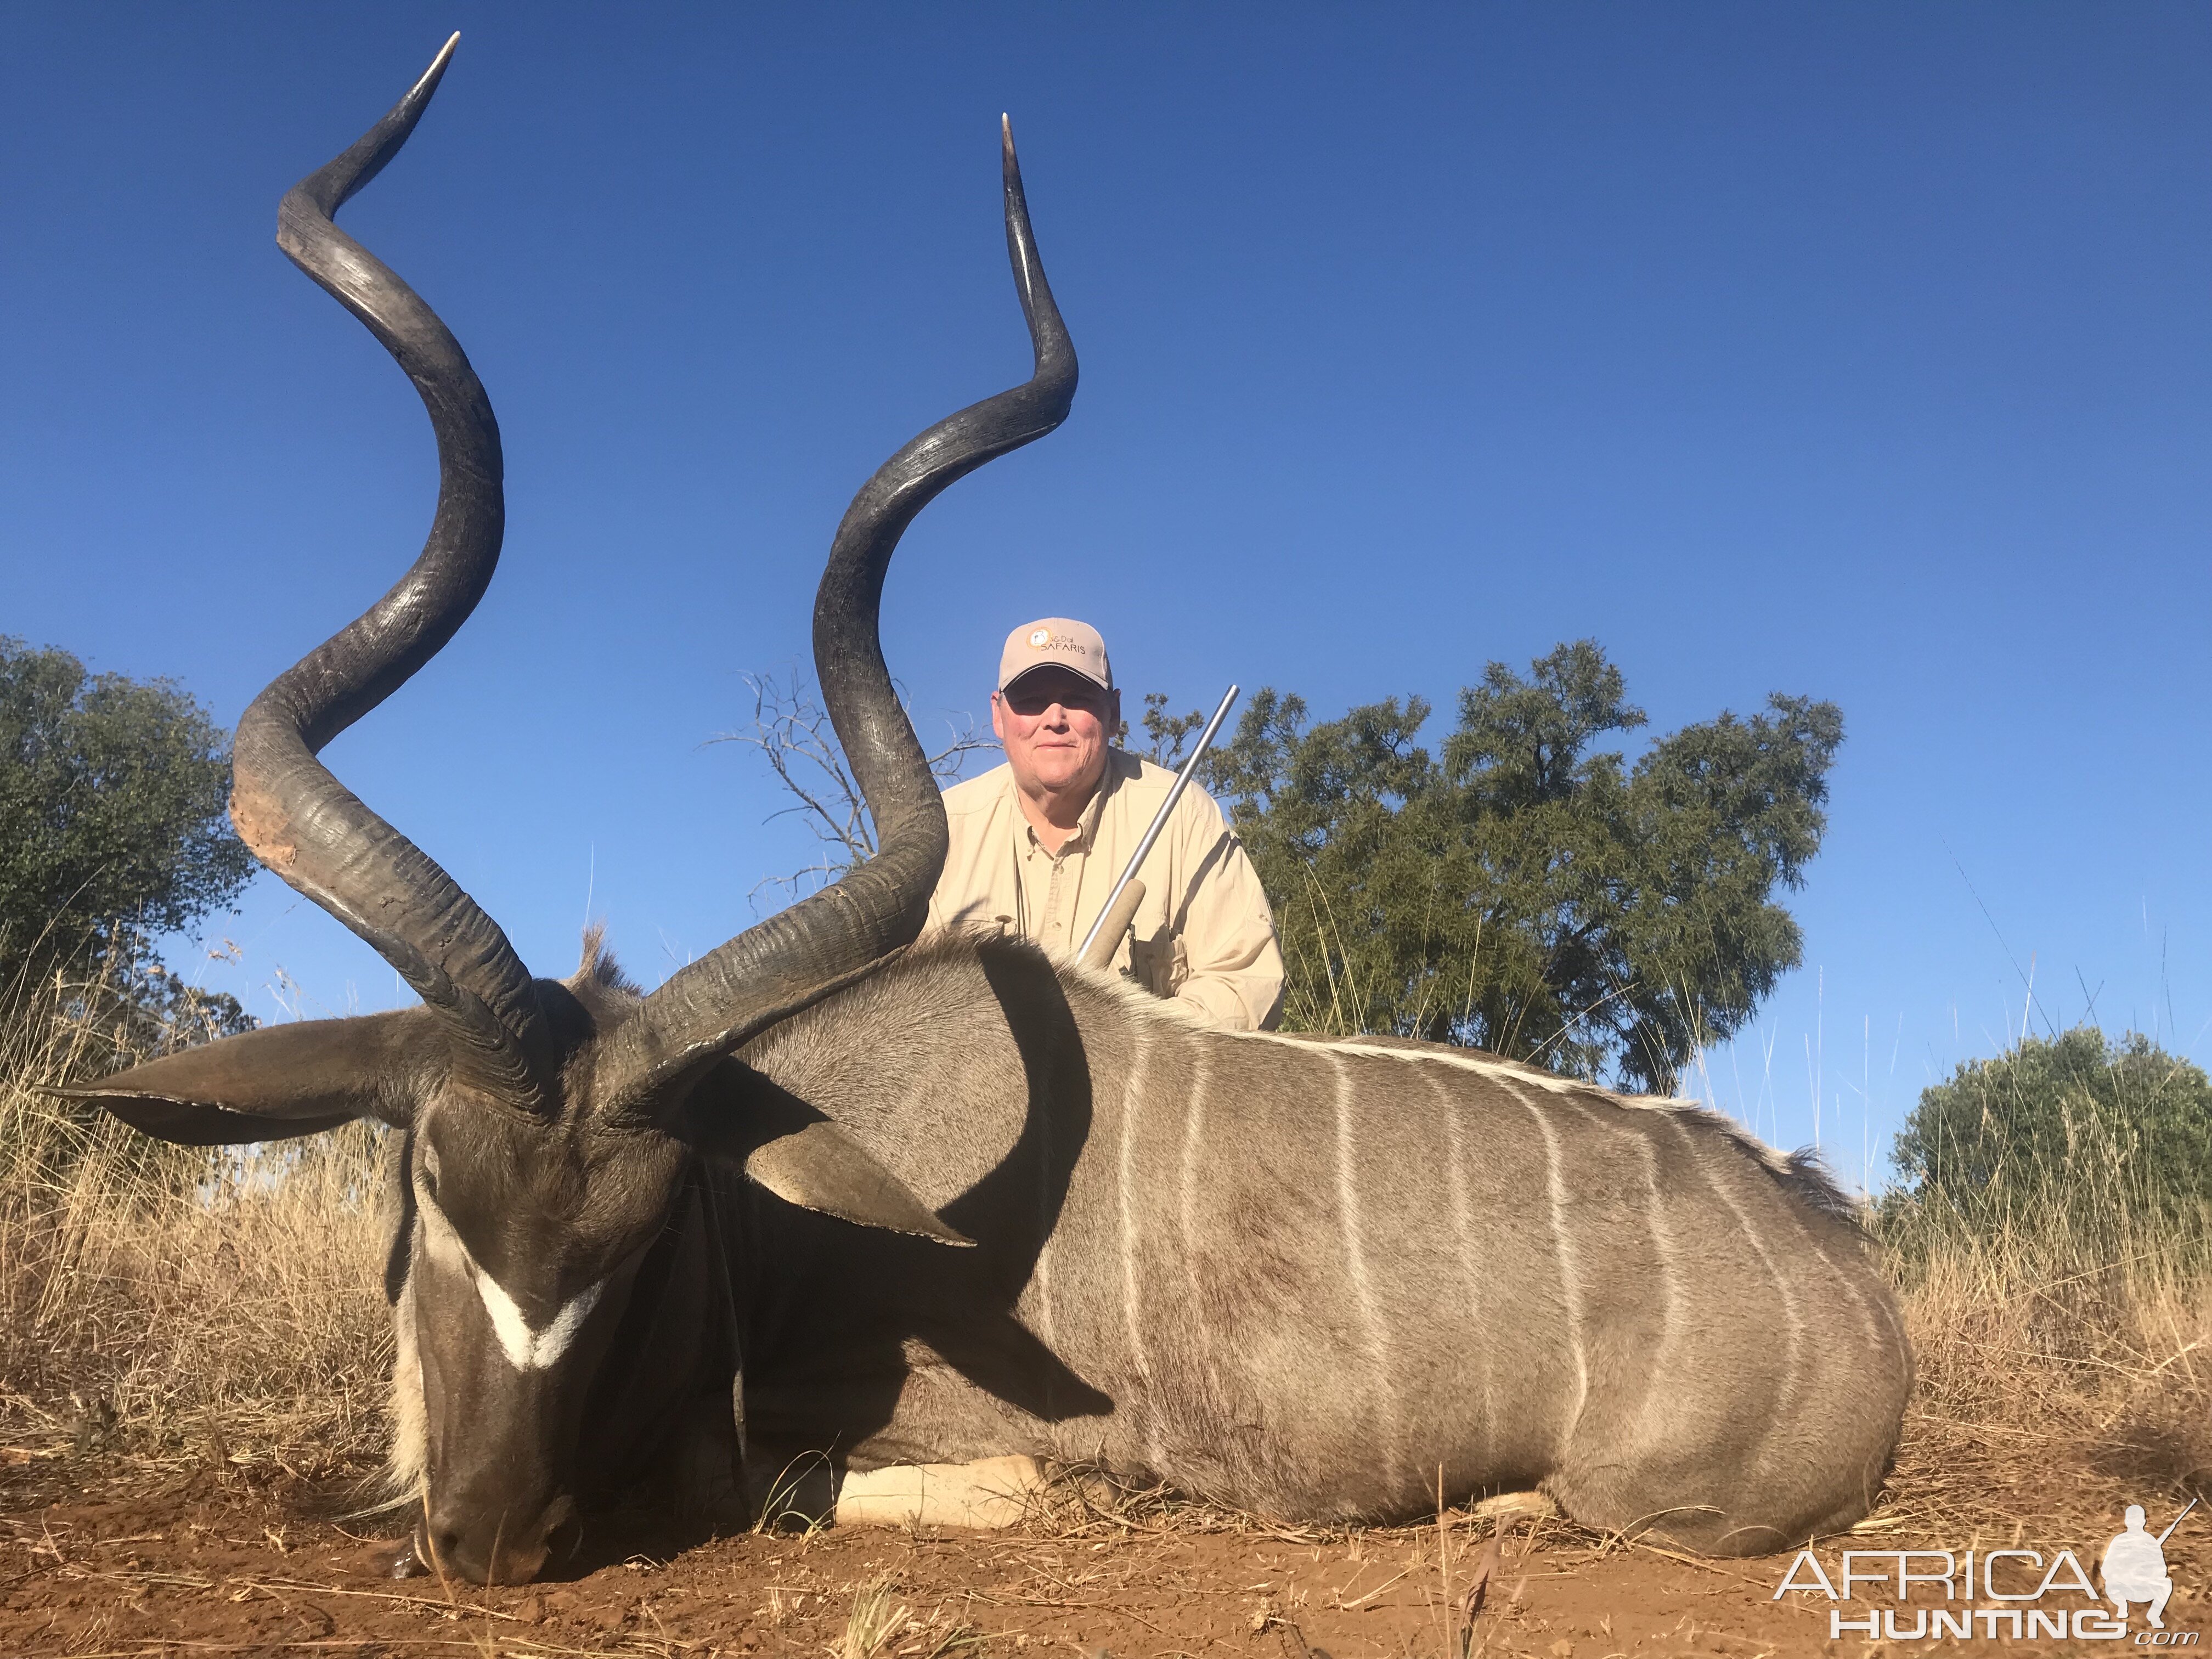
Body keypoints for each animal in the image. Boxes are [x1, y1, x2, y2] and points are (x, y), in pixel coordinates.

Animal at [60, 42, 1911, 1583]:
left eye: (646, 1235)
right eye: (435, 1185)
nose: (491, 1538)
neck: (780, 1214)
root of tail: (1857, 1284)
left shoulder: (941, 1441)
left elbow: (836, 1480)